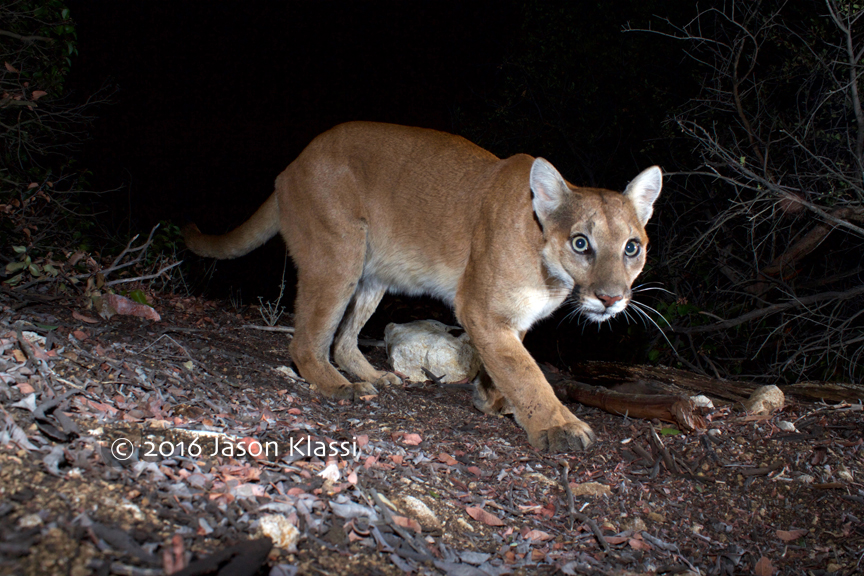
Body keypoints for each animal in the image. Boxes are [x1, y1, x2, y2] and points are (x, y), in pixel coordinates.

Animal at [186, 124, 660, 452]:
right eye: (581, 243)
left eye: (631, 247)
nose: (611, 298)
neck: (552, 273)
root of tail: (291, 166)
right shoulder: (480, 308)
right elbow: (526, 372)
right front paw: (558, 426)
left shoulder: (510, 319)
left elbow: (504, 365)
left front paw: (491, 399)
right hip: (338, 255)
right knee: (306, 340)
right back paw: (340, 386)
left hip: (372, 275)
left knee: (343, 338)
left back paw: (373, 375)